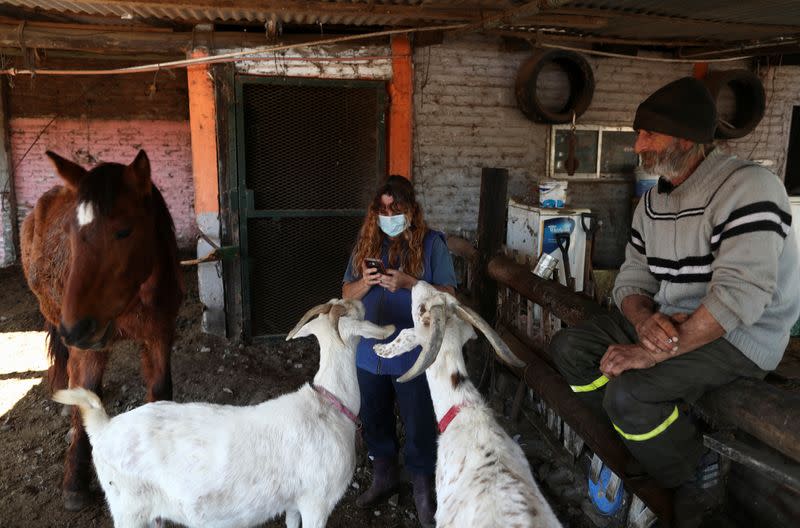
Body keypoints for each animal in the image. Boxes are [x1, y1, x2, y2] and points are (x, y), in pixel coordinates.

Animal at [21, 150, 186, 512]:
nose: (75, 328)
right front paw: (75, 483)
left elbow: (161, 392)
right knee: (66, 365)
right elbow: (86, 397)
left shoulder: (160, 336)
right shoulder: (89, 347)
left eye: (124, 231)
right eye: (69, 232)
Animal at [53, 300, 396, 528]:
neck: (330, 405)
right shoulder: (317, 501)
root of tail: (103, 425)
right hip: (127, 508)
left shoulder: (294, 503)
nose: (361, 299)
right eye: (354, 311)